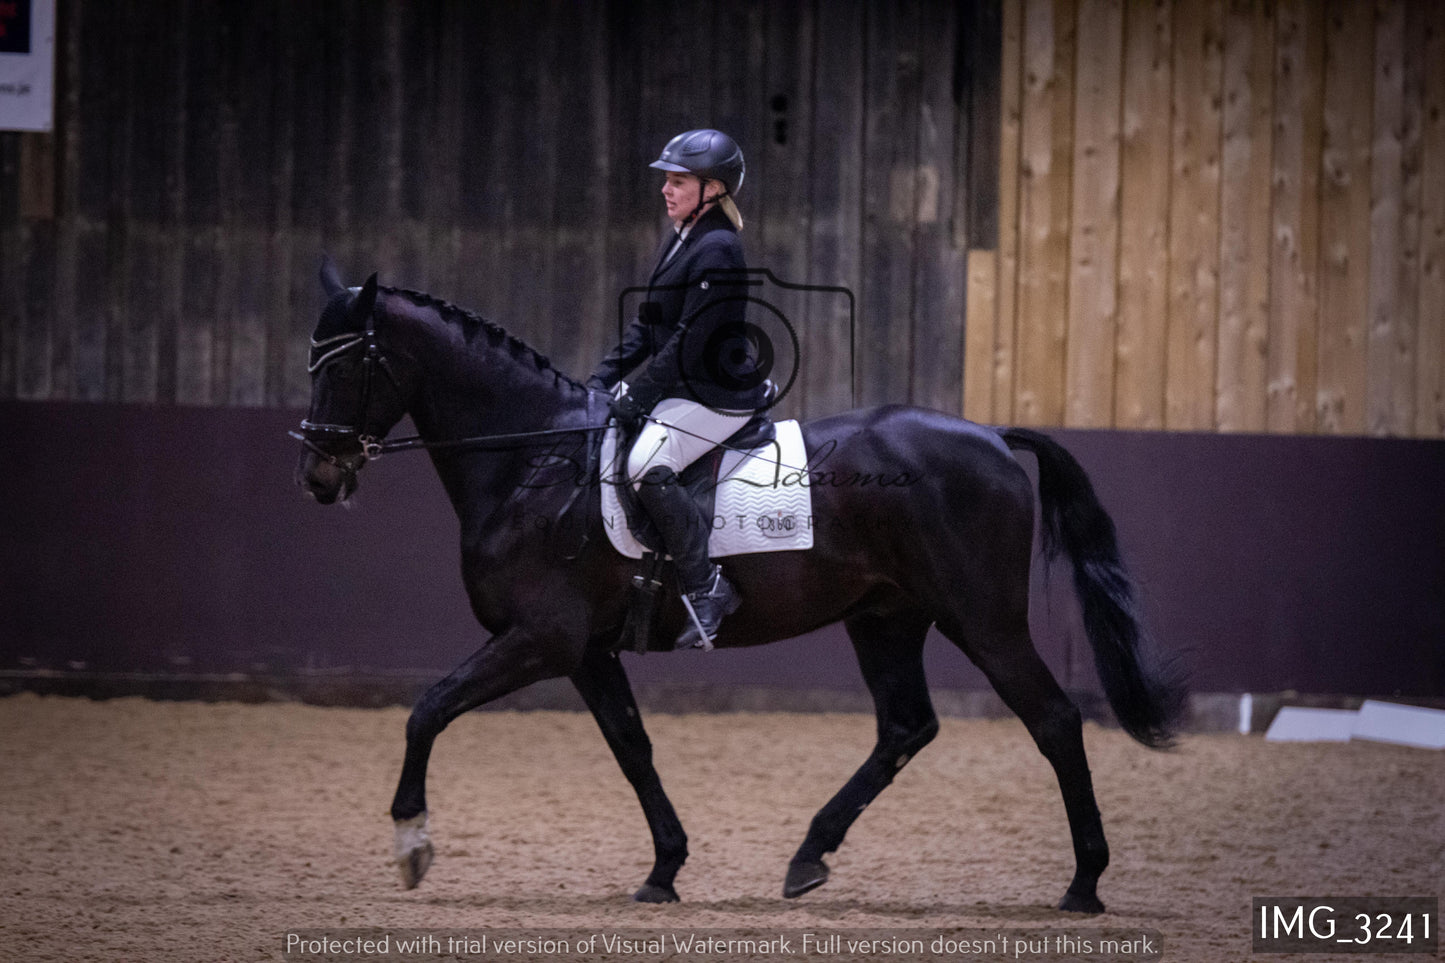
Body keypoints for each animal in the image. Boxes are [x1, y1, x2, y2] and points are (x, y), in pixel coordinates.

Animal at [296, 266, 1184, 913]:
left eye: (345, 364)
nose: (317, 476)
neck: (530, 460)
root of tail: (993, 437)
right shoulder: (585, 651)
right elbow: (632, 747)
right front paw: (664, 869)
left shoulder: (539, 638)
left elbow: (427, 708)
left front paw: (412, 844)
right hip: (886, 618)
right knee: (905, 725)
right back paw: (807, 856)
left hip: (982, 617)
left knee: (1054, 720)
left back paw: (1083, 884)